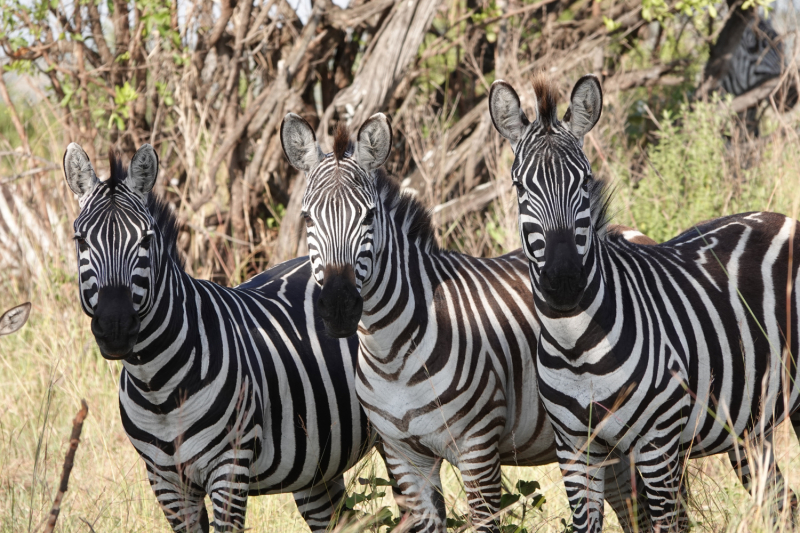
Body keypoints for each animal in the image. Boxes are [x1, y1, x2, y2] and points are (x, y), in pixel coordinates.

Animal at [64, 143, 374, 528]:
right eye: (80, 240)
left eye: (146, 240)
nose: (115, 327)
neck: (158, 387)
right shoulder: (165, 481)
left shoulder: (230, 466)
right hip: (316, 467)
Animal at [278, 113, 664, 532]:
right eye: (307, 218)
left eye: (368, 216)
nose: (338, 306)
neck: (391, 353)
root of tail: (626, 232)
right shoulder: (404, 458)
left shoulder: (477, 449)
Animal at [488, 74, 800, 528]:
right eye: (520, 188)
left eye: (584, 182)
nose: (564, 283)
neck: (575, 345)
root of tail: (781, 218)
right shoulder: (575, 452)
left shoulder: (657, 446)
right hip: (748, 425)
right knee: (782, 503)